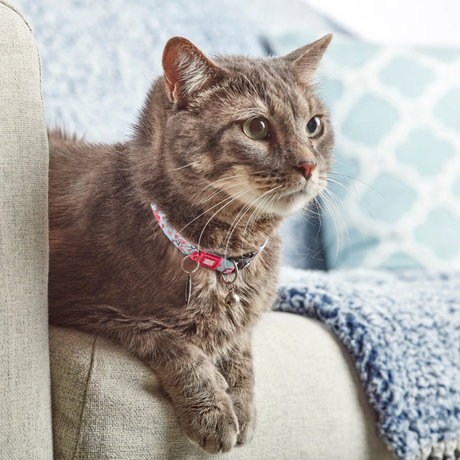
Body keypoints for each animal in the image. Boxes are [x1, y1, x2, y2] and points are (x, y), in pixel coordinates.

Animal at [47, 35, 334, 452]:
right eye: (256, 127)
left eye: (314, 125)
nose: (309, 165)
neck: (225, 256)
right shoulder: (86, 310)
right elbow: (173, 343)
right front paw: (214, 410)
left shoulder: (243, 323)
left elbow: (240, 346)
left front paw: (241, 401)